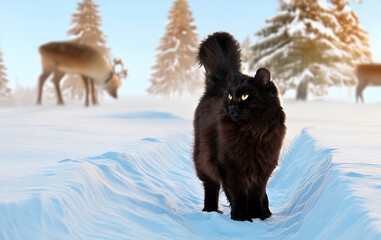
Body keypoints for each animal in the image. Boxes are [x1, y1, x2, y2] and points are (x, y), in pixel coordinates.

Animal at [193, 31, 284, 221]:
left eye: (244, 96)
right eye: (229, 96)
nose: (232, 106)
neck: (251, 131)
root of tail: (220, 81)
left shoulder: (263, 167)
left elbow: (257, 194)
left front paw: (259, 216)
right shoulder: (229, 167)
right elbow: (238, 195)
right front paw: (241, 218)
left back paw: (267, 211)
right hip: (202, 161)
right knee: (210, 187)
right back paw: (210, 210)